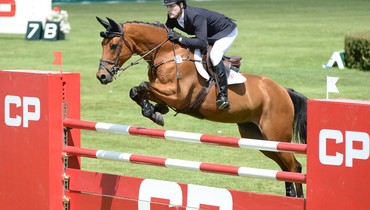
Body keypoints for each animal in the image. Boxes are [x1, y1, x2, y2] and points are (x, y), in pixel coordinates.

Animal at [97, 16, 308, 199]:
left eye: (113, 45)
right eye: (102, 45)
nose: (102, 76)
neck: (168, 53)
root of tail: (283, 91)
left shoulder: (178, 96)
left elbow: (142, 87)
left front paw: (152, 111)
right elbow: (137, 91)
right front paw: (154, 111)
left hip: (276, 136)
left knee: (294, 167)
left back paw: (299, 198)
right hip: (258, 138)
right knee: (285, 167)